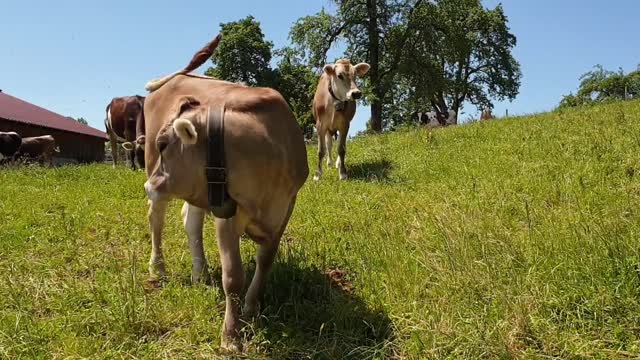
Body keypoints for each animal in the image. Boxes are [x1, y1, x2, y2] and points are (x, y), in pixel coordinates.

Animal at [141, 34, 310, 352]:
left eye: (164, 144)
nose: (149, 185)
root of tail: (178, 76)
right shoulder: (226, 212)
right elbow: (232, 276)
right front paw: (231, 336)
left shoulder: (285, 208)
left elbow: (265, 261)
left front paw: (252, 308)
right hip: (154, 175)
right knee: (156, 217)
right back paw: (158, 268)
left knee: (190, 220)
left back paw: (200, 273)